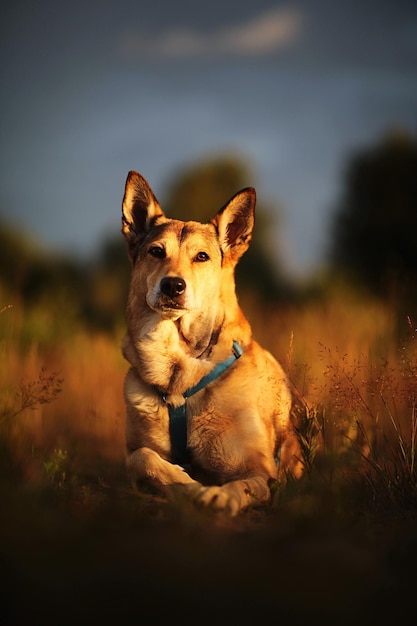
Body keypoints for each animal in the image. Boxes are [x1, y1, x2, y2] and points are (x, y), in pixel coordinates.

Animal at [120, 171, 302, 512]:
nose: (172, 286)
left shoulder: (259, 470)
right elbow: (141, 458)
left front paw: (218, 494)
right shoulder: (135, 452)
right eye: (156, 252)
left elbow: (241, 486)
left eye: (201, 257)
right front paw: (184, 483)